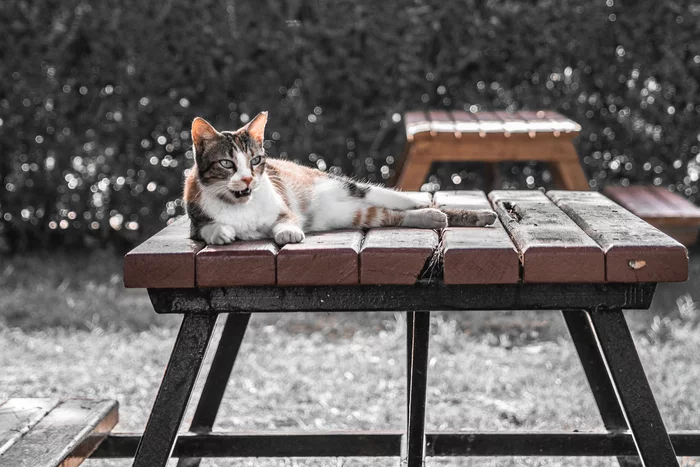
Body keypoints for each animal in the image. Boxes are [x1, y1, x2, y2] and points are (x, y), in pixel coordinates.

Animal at [183, 112, 494, 247]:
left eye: (256, 160)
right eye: (227, 163)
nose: (248, 179)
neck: (241, 205)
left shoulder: (284, 207)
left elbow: (287, 219)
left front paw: (288, 232)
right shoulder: (195, 218)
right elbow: (205, 228)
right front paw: (220, 232)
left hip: (358, 189)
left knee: (408, 202)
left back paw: (463, 214)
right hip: (356, 214)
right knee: (390, 215)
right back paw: (432, 218)